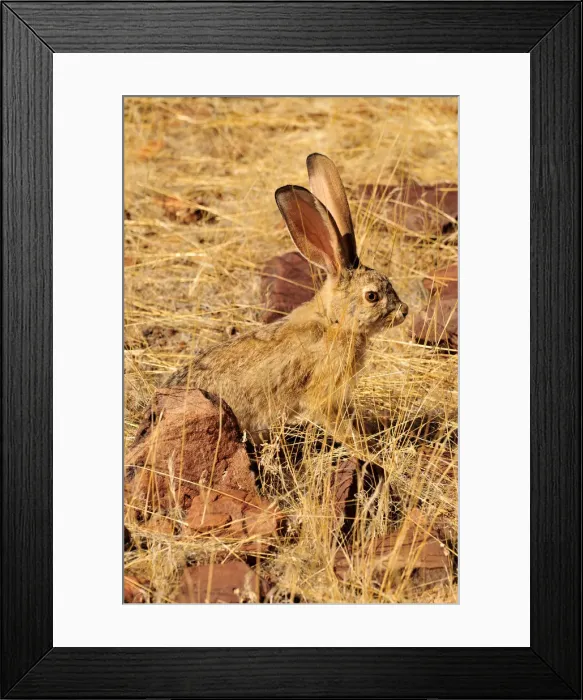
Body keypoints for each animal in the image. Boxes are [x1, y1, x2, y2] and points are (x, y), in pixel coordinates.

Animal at [165, 153, 408, 444]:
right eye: (372, 296)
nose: (404, 311)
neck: (333, 322)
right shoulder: (324, 392)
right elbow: (337, 422)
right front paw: (363, 447)